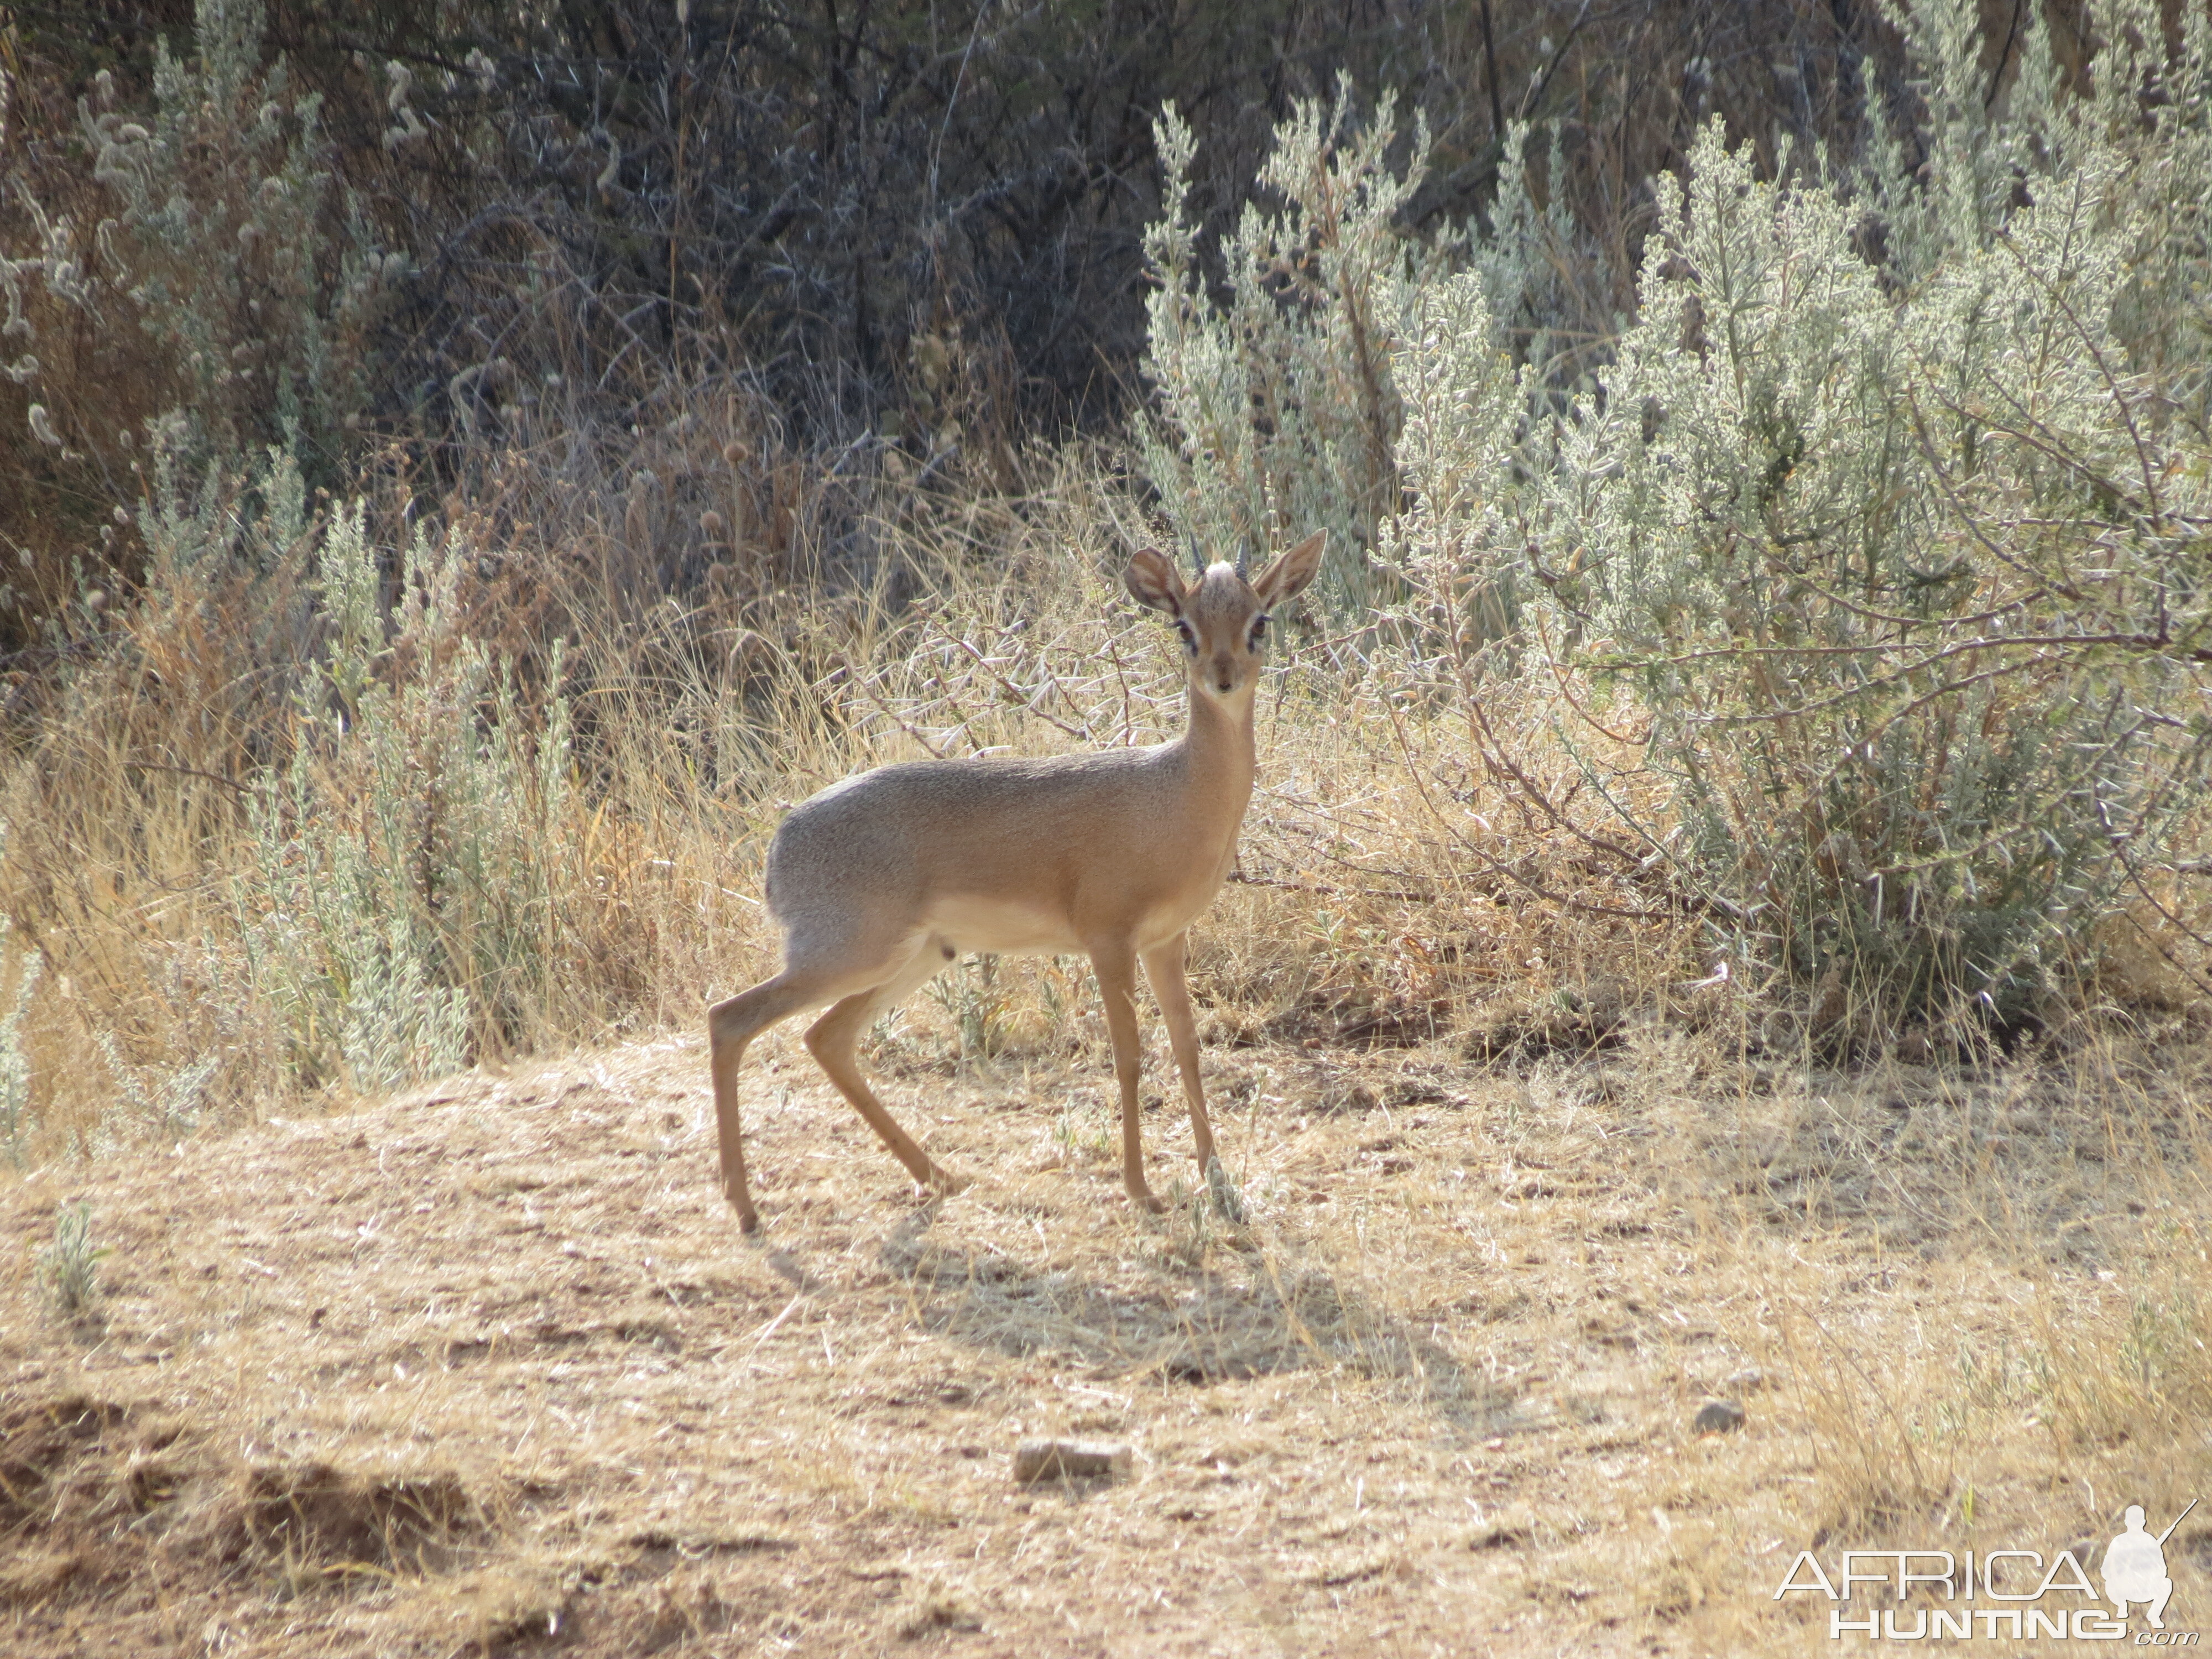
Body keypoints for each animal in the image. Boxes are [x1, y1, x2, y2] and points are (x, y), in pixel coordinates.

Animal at [712, 533, 1327, 1239]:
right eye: (1184, 627)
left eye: (1259, 622)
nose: (1223, 679)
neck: (1175, 794)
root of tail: (779, 845)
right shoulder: (1107, 940)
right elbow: (1128, 1054)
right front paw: (1141, 1190)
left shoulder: (1164, 941)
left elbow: (1187, 1048)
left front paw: (1219, 1183)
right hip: (847, 958)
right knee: (729, 1019)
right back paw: (745, 1207)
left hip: (912, 958)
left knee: (826, 1038)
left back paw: (937, 1177)